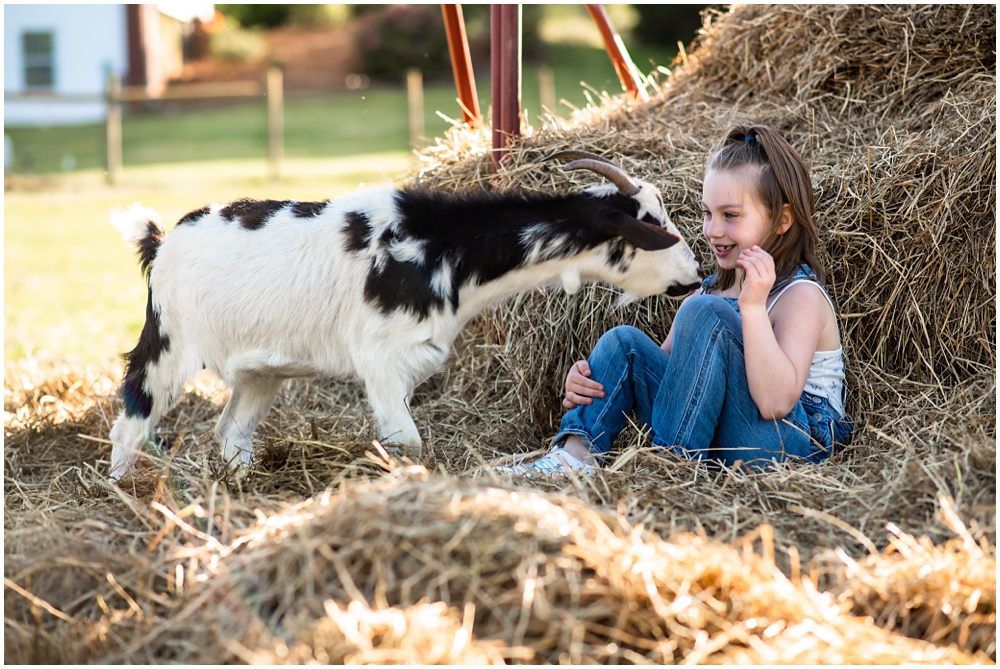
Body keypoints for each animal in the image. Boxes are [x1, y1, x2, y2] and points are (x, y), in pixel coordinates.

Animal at [107, 152, 704, 480]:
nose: (694, 276)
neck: (439, 246)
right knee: (130, 421)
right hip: (167, 345)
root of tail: (160, 241)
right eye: (653, 225)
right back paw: (120, 489)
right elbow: (410, 443)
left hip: (259, 372)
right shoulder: (380, 361)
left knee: (230, 432)